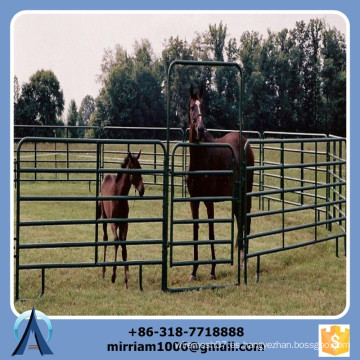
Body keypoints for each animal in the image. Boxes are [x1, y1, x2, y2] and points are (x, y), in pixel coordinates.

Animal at [98, 150, 145, 288]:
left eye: (141, 168)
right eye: (133, 170)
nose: (142, 190)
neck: (119, 195)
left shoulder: (124, 223)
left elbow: (124, 245)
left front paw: (126, 279)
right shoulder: (114, 223)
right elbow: (116, 242)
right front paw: (113, 276)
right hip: (105, 218)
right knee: (105, 239)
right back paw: (103, 272)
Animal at [187, 86, 255, 282]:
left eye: (203, 106)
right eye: (192, 107)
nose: (200, 128)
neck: (200, 159)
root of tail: (245, 142)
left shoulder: (209, 201)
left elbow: (211, 233)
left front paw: (212, 270)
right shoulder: (193, 201)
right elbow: (195, 232)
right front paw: (193, 271)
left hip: (245, 195)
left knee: (246, 222)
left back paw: (244, 263)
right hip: (236, 198)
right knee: (240, 222)